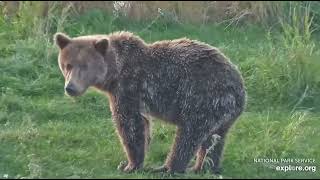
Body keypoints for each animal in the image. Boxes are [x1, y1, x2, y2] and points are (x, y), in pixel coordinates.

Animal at [53, 31, 246, 174]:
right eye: (67, 65)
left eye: (85, 66)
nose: (70, 88)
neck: (115, 72)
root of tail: (240, 89)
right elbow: (143, 124)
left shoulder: (128, 88)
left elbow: (129, 125)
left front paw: (129, 165)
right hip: (221, 111)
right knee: (215, 138)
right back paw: (203, 167)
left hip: (203, 98)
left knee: (188, 135)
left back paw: (167, 168)